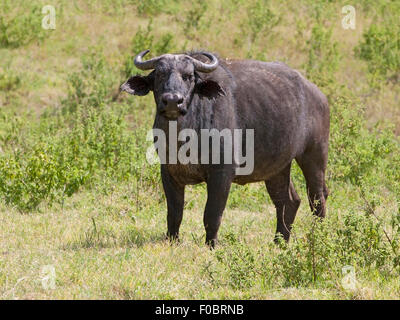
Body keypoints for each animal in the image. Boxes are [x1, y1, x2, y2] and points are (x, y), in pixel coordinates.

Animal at [121, 50, 328, 246]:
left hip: (314, 157)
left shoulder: (222, 173)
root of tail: (318, 95)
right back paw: (279, 242)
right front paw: (173, 241)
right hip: (277, 168)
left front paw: (211, 245)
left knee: (317, 198)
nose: (173, 100)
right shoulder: (168, 171)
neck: (184, 136)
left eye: (188, 76)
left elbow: (212, 215)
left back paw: (318, 237)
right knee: (288, 201)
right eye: (160, 74)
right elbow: (174, 214)